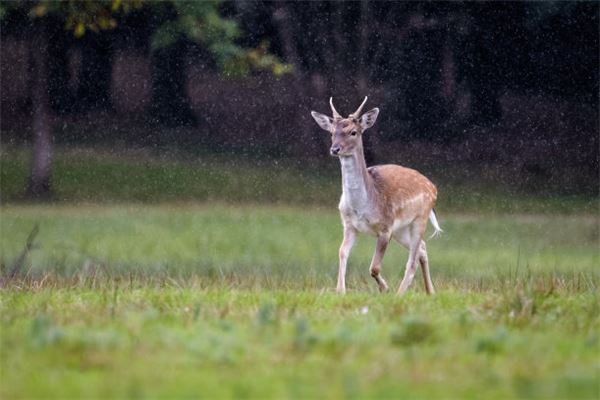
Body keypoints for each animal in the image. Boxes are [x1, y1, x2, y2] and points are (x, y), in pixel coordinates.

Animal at [312, 96, 442, 294]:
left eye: (353, 132)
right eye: (332, 132)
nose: (335, 149)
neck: (363, 205)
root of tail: (433, 187)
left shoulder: (385, 227)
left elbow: (374, 267)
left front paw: (385, 288)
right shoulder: (349, 225)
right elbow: (342, 253)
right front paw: (340, 291)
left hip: (420, 219)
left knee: (412, 260)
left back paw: (400, 293)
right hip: (401, 229)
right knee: (423, 248)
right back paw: (430, 292)